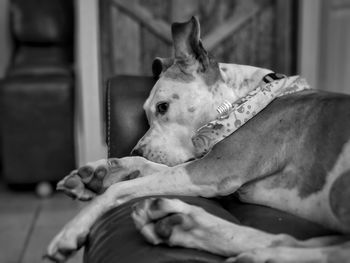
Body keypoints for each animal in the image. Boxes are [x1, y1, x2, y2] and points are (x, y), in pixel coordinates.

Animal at [46, 17, 350, 262]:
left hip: (338, 188)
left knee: (328, 251)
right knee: (289, 239)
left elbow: (121, 189)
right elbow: (146, 169)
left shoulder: (214, 171)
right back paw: (181, 225)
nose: (137, 149)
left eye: (162, 107)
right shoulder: (199, 167)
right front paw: (98, 173)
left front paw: (74, 227)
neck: (246, 102)